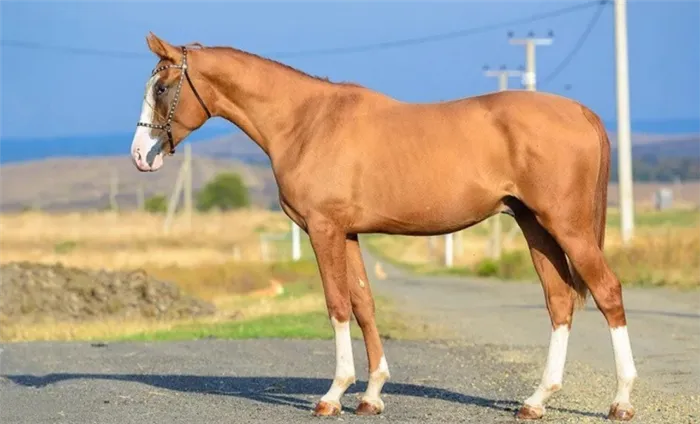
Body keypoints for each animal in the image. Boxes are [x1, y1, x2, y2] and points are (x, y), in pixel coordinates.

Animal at [129, 32, 636, 420]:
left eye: (161, 88)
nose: (140, 157)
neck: (306, 122)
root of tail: (582, 113)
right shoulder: (348, 233)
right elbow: (364, 305)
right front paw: (371, 395)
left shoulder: (323, 229)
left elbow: (337, 305)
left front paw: (333, 394)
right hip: (536, 227)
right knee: (560, 302)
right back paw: (536, 401)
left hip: (568, 227)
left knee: (607, 292)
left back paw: (621, 401)